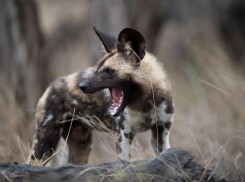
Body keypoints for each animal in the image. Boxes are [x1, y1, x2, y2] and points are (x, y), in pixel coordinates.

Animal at [27, 26, 174, 165]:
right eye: (97, 69)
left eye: (108, 71)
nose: (81, 86)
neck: (146, 103)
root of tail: (51, 86)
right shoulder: (123, 136)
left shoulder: (161, 133)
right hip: (44, 145)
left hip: (80, 147)